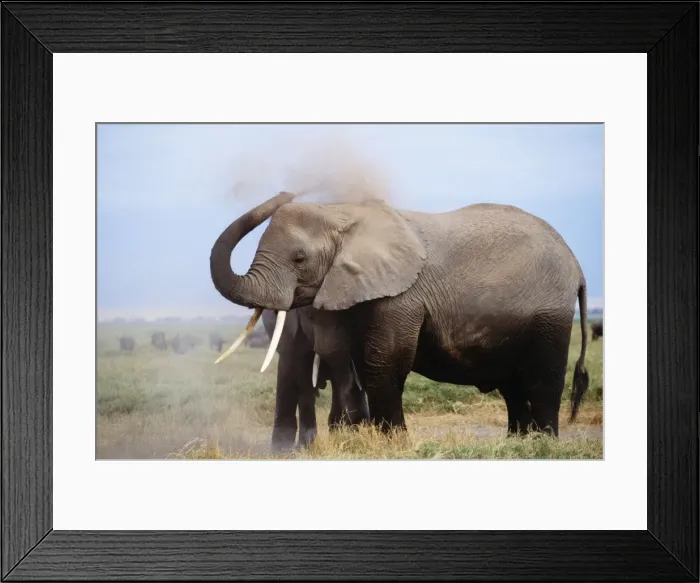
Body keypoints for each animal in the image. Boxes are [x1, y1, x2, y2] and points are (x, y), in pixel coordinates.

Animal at [209, 191, 589, 438]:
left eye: (299, 258)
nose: (288, 190)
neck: (343, 214)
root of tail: (577, 266)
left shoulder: (402, 295)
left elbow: (383, 361)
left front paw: (393, 443)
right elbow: (358, 363)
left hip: (550, 314)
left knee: (543, 379)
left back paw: (542, 443)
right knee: (513, 384)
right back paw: (517, 443)